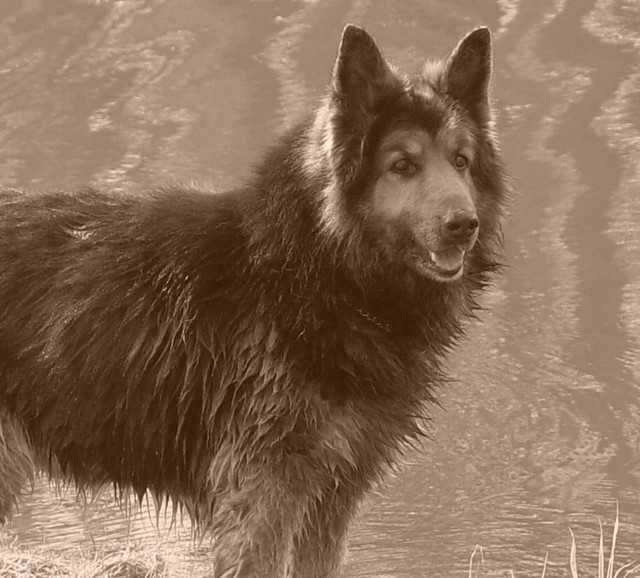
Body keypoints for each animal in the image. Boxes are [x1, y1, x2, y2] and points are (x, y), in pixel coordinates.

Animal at [0, 24, 507, 577]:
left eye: (461, 161)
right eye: (403, 165)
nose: (464, 225)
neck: (316, 268)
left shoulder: (329, 495)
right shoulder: (262, 490)